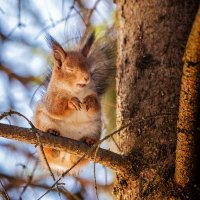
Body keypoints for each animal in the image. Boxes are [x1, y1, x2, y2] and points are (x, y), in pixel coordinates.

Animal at [33, 32, 115, 174]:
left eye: (88, 66)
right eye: (70, 68)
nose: (86, 78)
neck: (77, 91)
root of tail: (62, 162)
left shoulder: (93, 93)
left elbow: (97, 107)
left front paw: (90, 101)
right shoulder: (51, 97)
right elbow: (55, 107)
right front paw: (71, 102)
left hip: (94, 128)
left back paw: (87, 141)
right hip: (42, 121)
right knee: (49, 151)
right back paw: (52, 139)